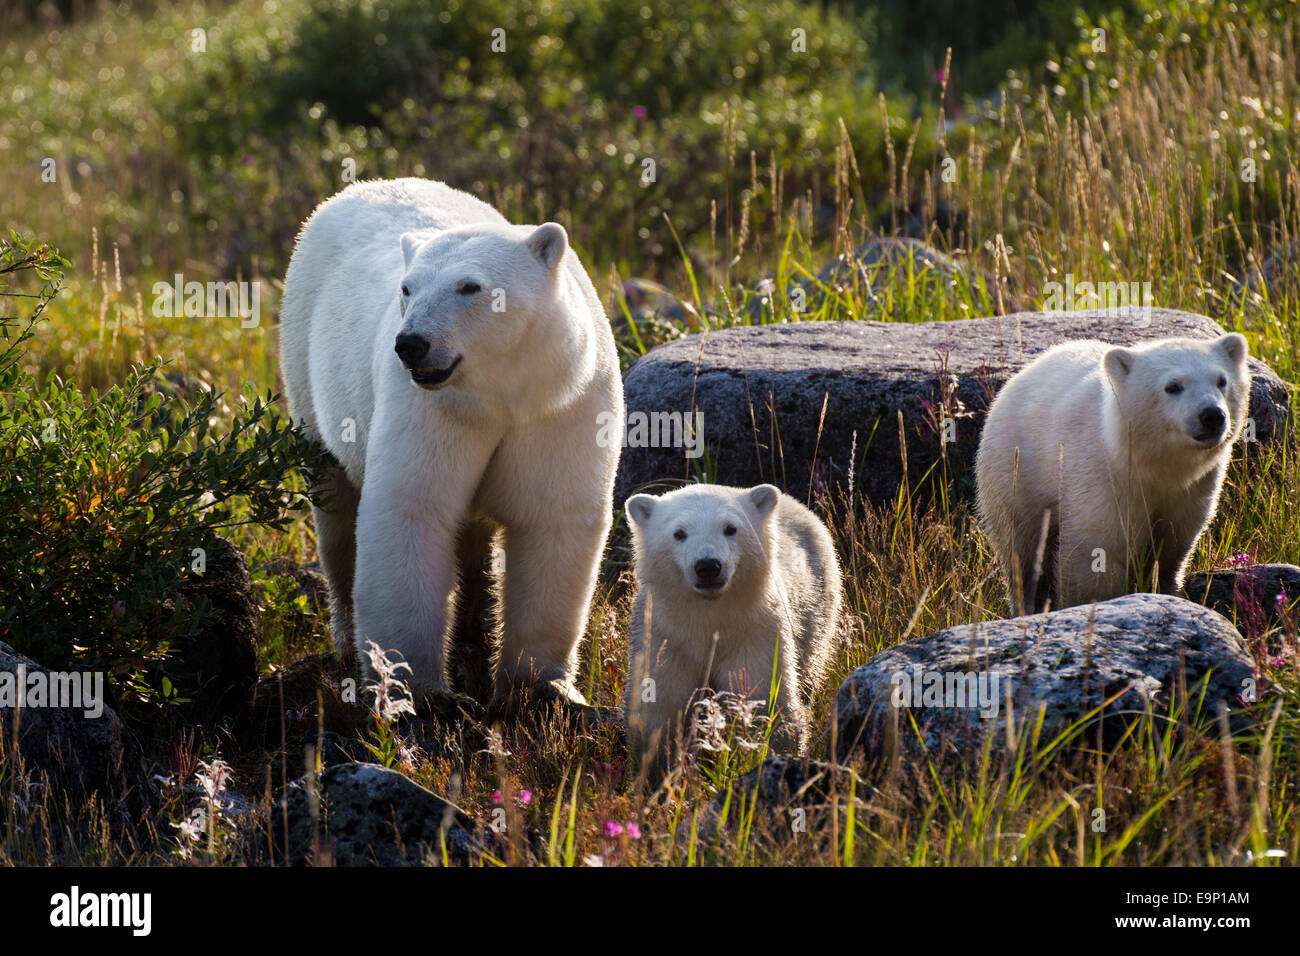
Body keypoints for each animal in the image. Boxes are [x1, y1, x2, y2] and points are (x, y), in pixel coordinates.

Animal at [280, 179, 624, 707]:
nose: (411, 344)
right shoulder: (434, 409)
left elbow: (552, 515)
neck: (499, 396)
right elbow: (413, 508)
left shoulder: (563, 403)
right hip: (305, 365)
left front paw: (540, 687)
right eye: (407, 288)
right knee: (336, 506)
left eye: (469, 287)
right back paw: (347, 638)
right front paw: (419, 689)